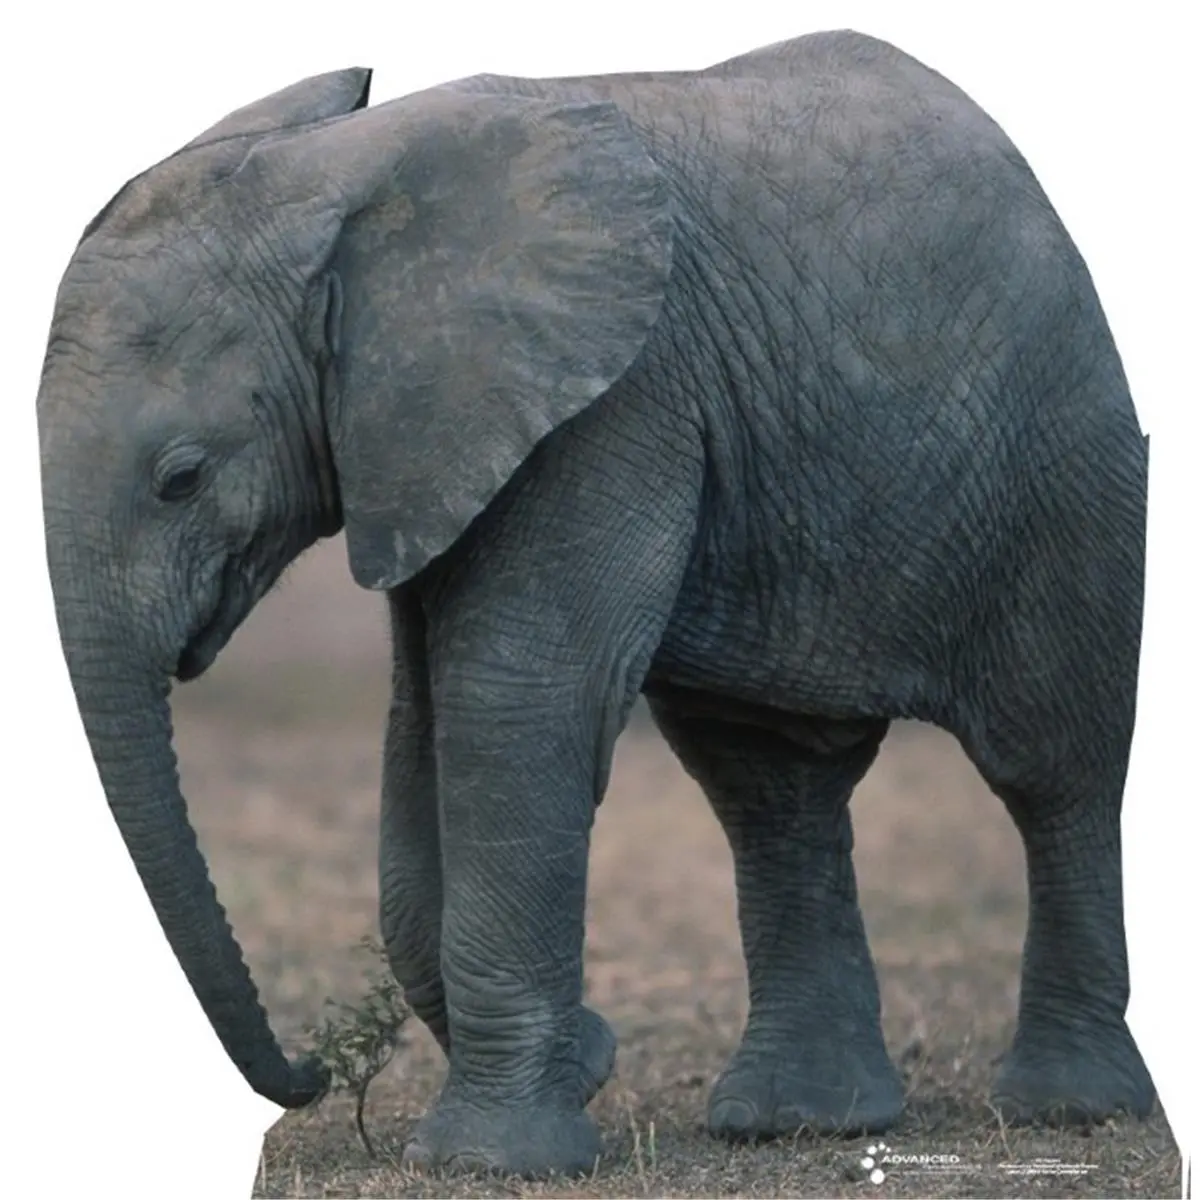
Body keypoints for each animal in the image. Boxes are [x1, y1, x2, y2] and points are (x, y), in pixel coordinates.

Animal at [36, 28, 1154, 1179]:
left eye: (180, 478)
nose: (304, 1077)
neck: (342, 186)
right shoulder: (436, 437)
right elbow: (422, 721)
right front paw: (580, 1067)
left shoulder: (614, 399)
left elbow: (511, 698)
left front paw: (495, 1160)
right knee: (771, 787)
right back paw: (797, 1122)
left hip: (1062, 459)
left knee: (1052, 765)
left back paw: (1065, 1109)